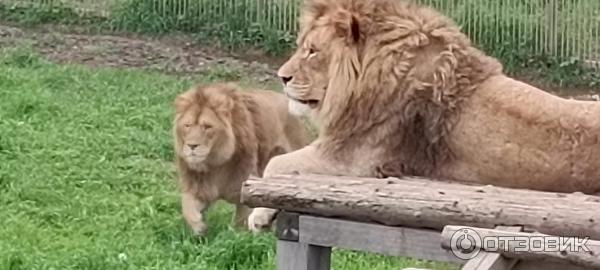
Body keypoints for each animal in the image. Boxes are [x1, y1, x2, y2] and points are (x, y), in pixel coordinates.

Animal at [170, 81, 308, 234]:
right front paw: (199, 228)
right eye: (187, 125)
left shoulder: (245, 190)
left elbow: (241, 221)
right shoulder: (199, 187)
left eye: (207, 126)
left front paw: (238, 235)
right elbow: (187, 208)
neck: (215, 163)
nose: (192, 145)